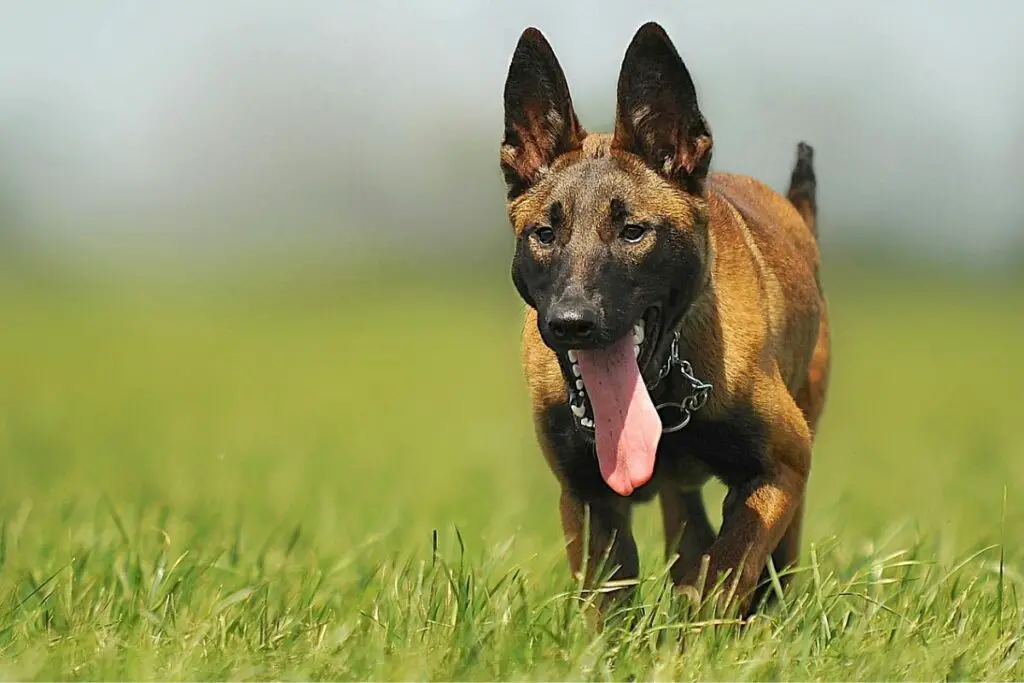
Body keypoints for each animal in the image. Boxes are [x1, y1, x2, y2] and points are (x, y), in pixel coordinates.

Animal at [499, 22, 827, 614]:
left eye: (633, 232)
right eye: (545, 234)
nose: (571, 322)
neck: (662, 387)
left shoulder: (781, 467)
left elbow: (728, 569)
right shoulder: (587, 496)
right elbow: (611, 598)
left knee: (772, 565)